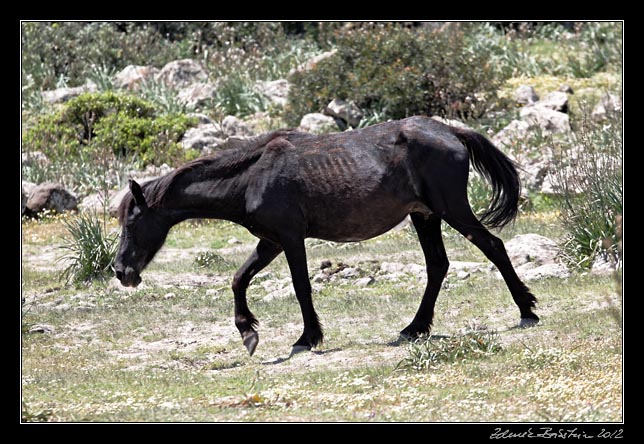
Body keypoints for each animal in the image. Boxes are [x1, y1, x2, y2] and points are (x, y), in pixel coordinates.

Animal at [115, 116, 540, 356]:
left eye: (131, 222)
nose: (121, 271)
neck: (252, 176)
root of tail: (450, 131)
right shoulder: (269, 241)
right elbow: (238, 278)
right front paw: (248, 333)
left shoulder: (289, 238)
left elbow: (301, 287)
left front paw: (307, 338)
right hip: (425, 216)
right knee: (437, 265)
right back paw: (414, 328)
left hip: (452, 210)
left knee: (493, 246)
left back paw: (527, 311)